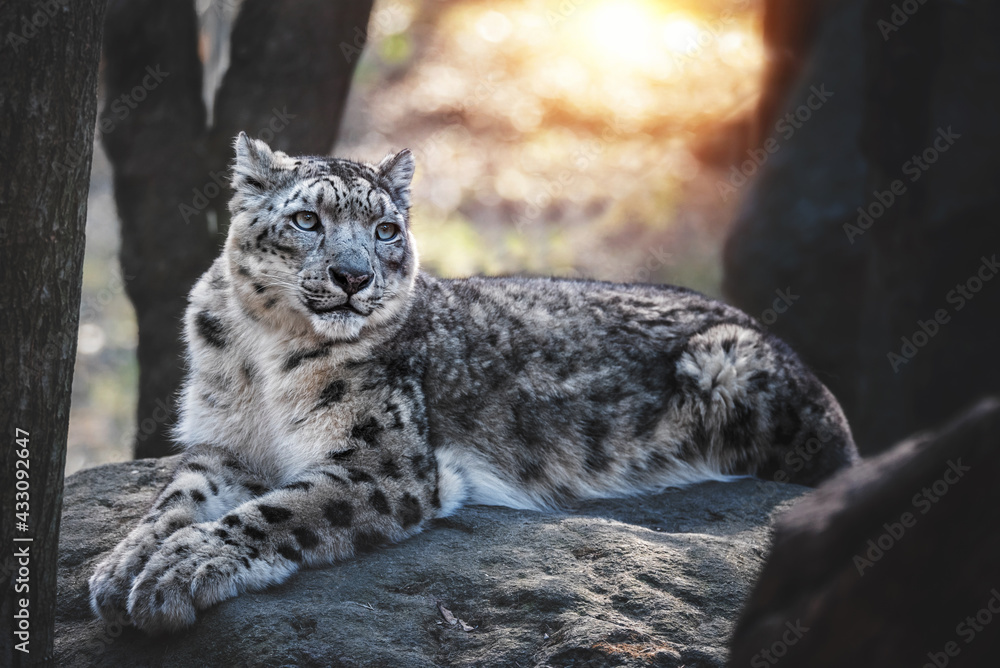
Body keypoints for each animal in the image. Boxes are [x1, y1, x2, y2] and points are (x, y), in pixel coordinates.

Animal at [89, 132, 859, 634]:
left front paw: (180, 567)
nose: (353, 276)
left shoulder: (382, 463)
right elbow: (175, 498)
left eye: (385, 228)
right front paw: (123, 564)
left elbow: (276, 511)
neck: (264, 353)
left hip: (732, 366)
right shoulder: (225, 444)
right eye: (307, 219)